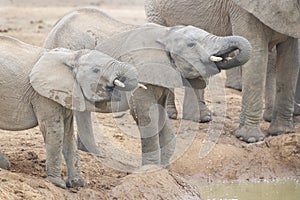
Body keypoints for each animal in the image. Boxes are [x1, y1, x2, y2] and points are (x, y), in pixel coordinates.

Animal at [43, 7, 252, 167]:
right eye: (192, 44)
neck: (166, 33)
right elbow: (146, 115)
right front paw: (151, 168)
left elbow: (160, 115)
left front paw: (165, 167)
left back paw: (92, 153)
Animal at [145, 0, 300, 142]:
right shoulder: (244, 10)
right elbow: (257, 52)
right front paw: (250, 138)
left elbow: (291, 60)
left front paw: (282, 132)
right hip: (156, 12)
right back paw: (171, 115)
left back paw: (201, 118)